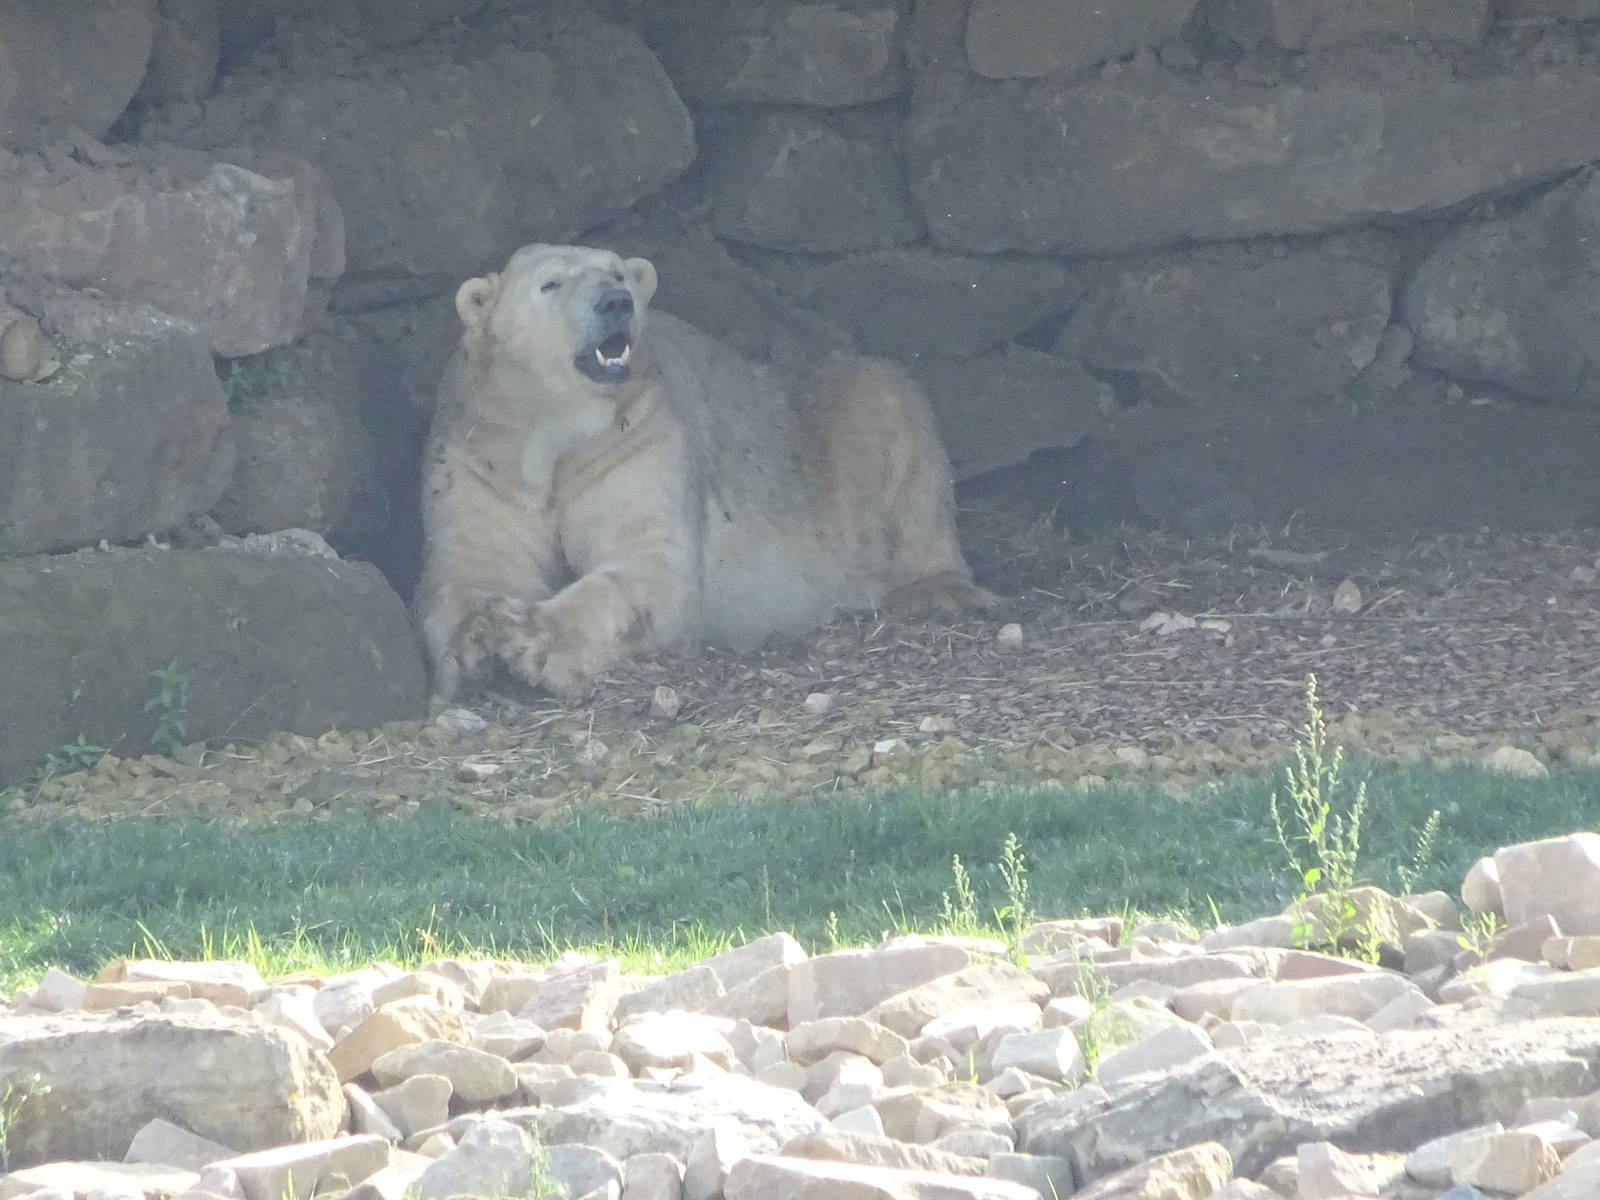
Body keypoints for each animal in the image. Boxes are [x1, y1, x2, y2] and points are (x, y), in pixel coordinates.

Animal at [414, 241, 992, 705]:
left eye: (618, 274)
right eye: (549, 283)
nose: (615, 302)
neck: (556, 431)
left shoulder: (634, 435)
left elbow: (648, 561)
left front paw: (528, 638)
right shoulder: (482, 457)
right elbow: (477, 566)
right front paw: (472, 647)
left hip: (827, 425)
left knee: (888, 403)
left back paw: (936, 591)